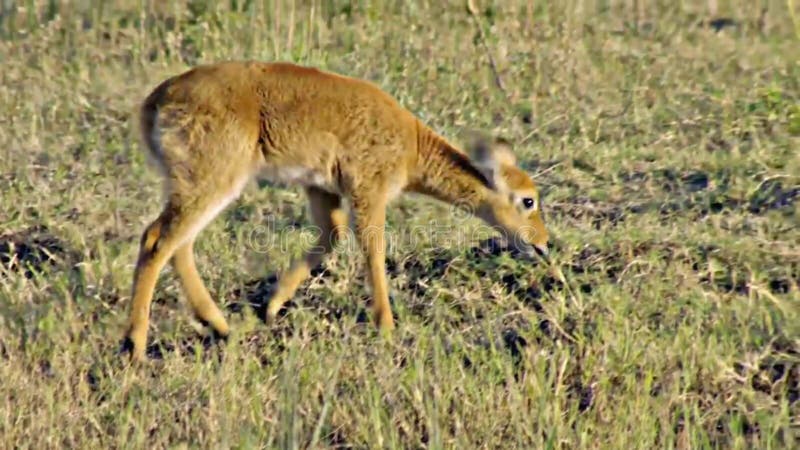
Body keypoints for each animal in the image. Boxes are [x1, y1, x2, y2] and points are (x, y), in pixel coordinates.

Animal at [123, 60, 550, 361]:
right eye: (528, 200)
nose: (543, 245)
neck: (411, 146)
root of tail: (154, 101)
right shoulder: (367, 191)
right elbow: (373, 250)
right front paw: (387, 326)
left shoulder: (322, 188)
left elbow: (330, 237)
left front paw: (273, 306)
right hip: (213, 181)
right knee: (157, 239)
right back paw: (134, 347)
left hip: (197, 185)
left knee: (178, 244)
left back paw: (221, 326)